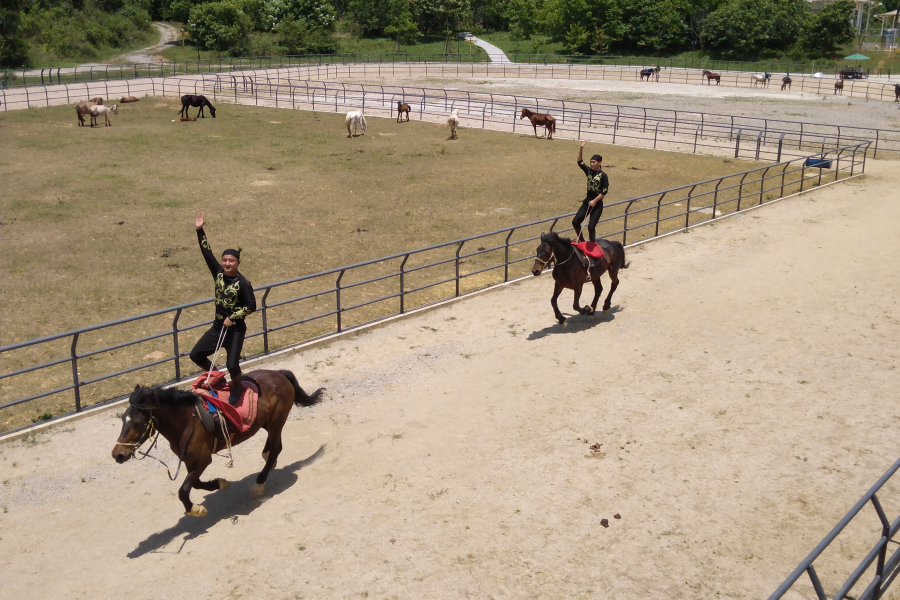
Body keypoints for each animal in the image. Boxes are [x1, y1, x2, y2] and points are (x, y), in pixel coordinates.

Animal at [111, 368, 324, 516]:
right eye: (123, 420)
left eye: (137, 422)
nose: (117, 454)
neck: (187, 420)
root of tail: (280, 374)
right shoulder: (190, 461)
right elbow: (196, 484)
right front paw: (220, 484)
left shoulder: (203, 460)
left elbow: (184, 490)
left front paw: (195, 509)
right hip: (264, 422)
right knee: (272, 447)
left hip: (276, 421)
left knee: (276, 448)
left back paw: (259, 483)